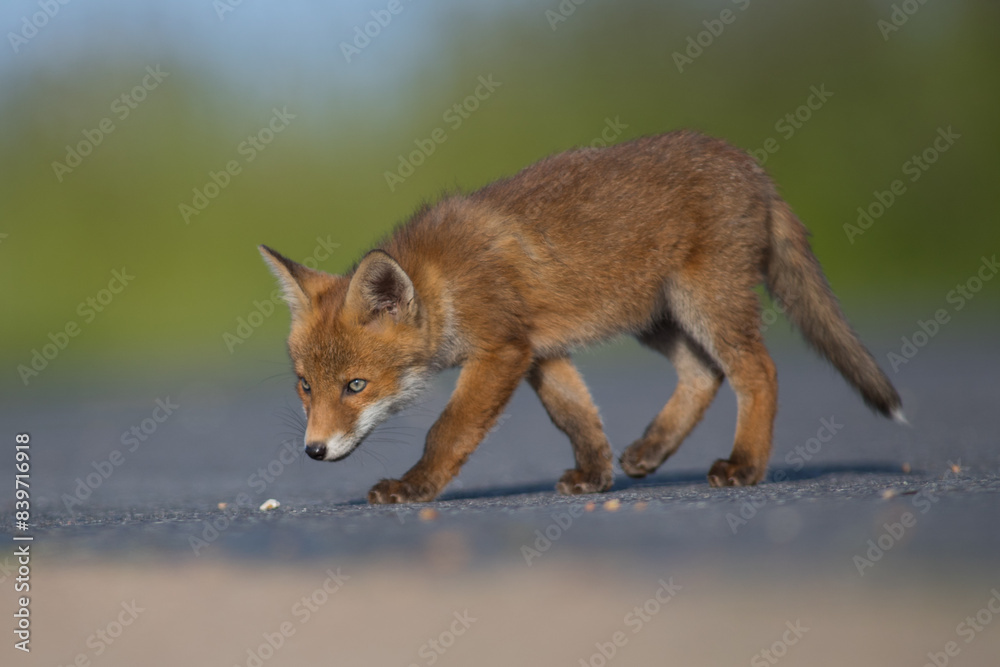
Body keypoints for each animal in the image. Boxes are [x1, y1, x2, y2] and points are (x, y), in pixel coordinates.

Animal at [260, 130, 903, 504]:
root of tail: (750, 164)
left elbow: (450, 429)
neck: (443, 283)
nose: (313, 451)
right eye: (305, 387)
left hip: (703, 304)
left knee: (756, 372)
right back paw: (651, 450)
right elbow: (575, 417)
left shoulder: (501, 351)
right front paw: (594, 475)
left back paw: (744, 464)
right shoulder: (538, 351)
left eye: (356, 386)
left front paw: (415, 486)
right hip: (656, 317)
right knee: (705, 373)